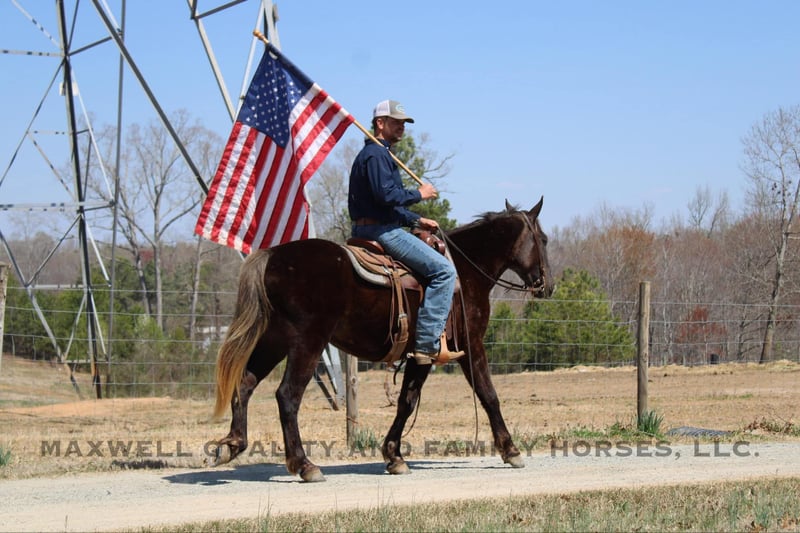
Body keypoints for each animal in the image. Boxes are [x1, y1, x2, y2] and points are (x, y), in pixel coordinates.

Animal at [209, 197, 554, 482]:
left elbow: (406, 401)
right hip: (307, 342)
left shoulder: (422, 355)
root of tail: (272, 255)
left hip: (275, 340)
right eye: (544, 240)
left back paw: (231, 444)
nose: (547, 285)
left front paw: (394, 456)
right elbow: (488, 394)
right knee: (287, 396)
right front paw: (511, 450)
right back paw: (304, 464)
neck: (464, 271)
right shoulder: (470, 346)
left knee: (245, 382)